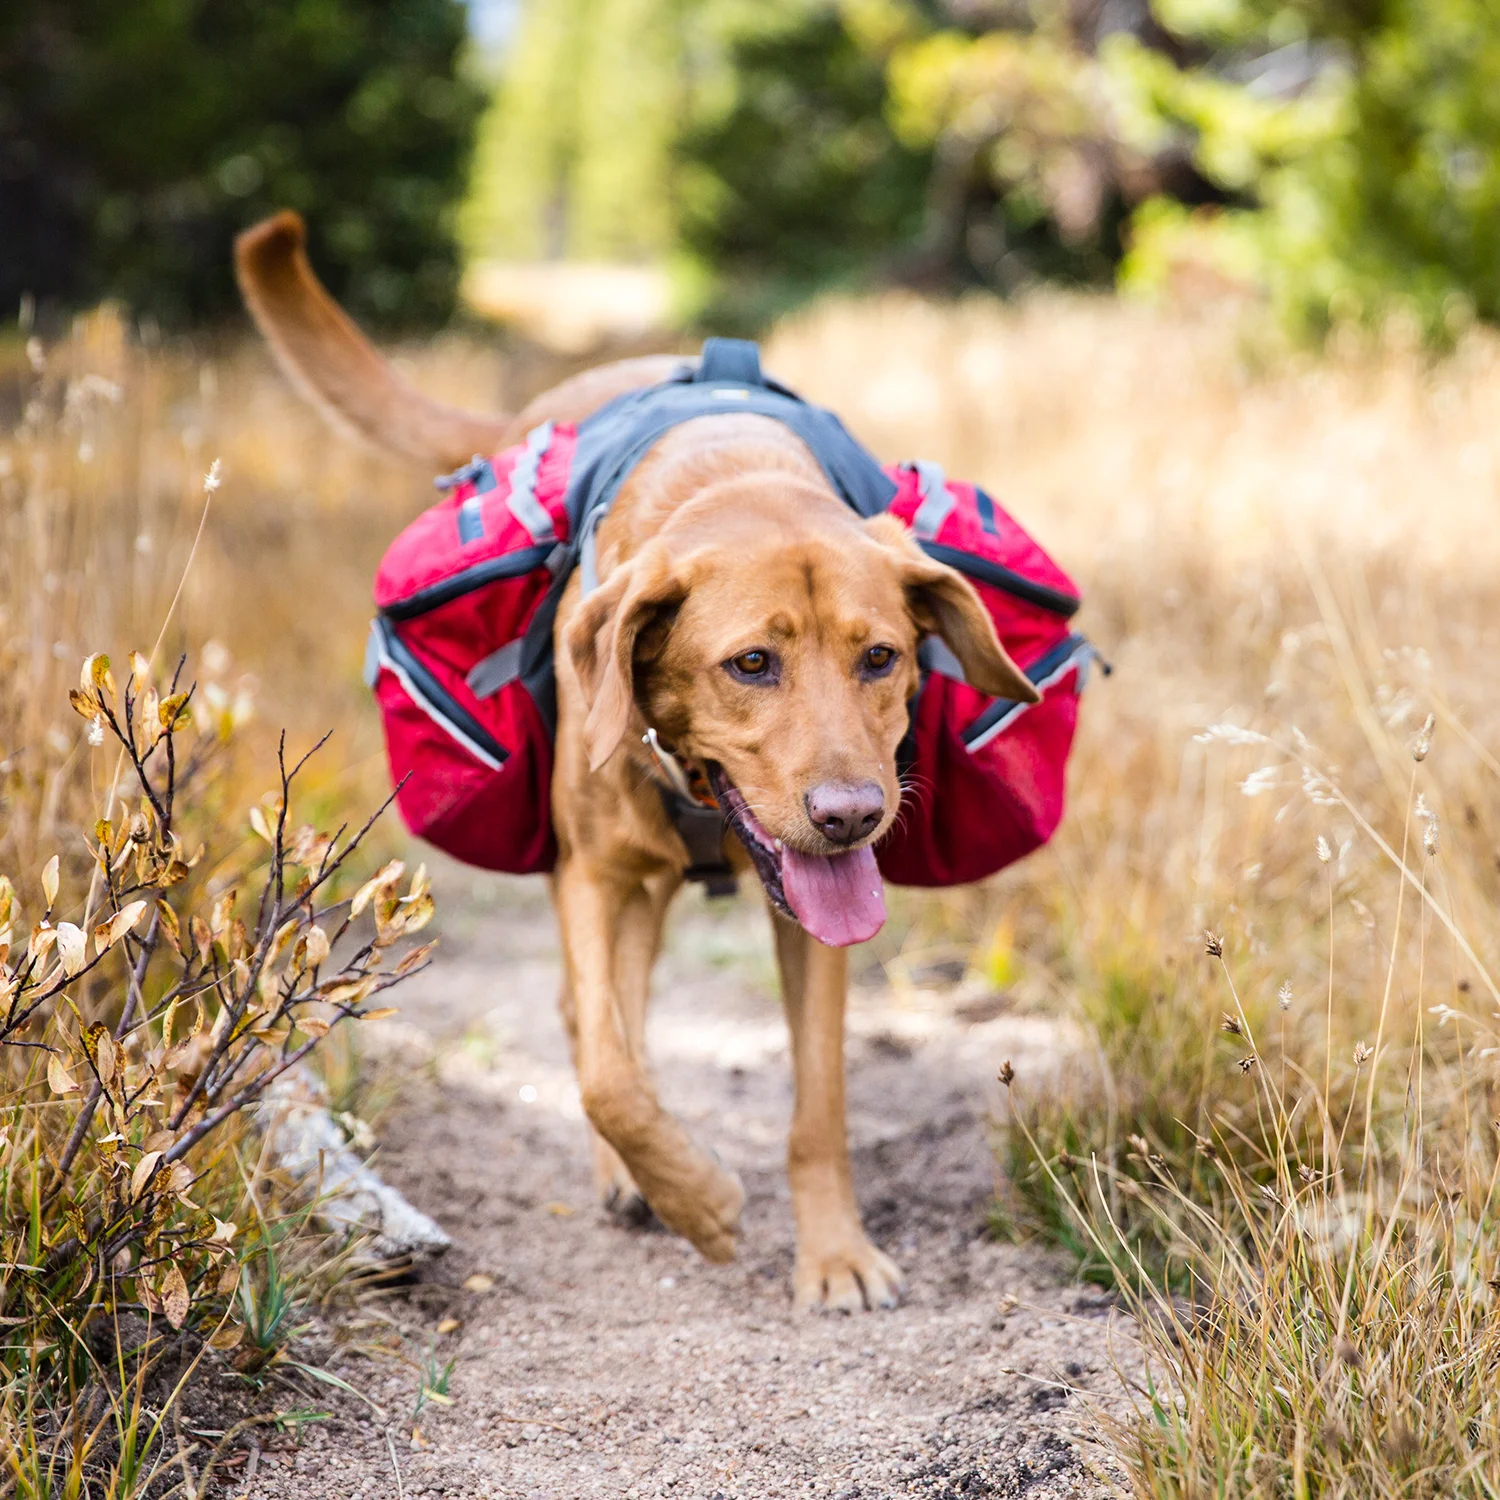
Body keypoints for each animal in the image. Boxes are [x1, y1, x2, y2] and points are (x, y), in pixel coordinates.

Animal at [234, 214, 1038, 1314]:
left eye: (882, 658)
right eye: (752, 664)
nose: (851, 816)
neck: (731, 480)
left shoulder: (810, 927)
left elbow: (818, 1103)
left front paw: (834, 1253)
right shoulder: (595, 873)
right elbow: (607, 1075)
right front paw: (700, 1201)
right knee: (595, 1021)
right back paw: (638, 1174)